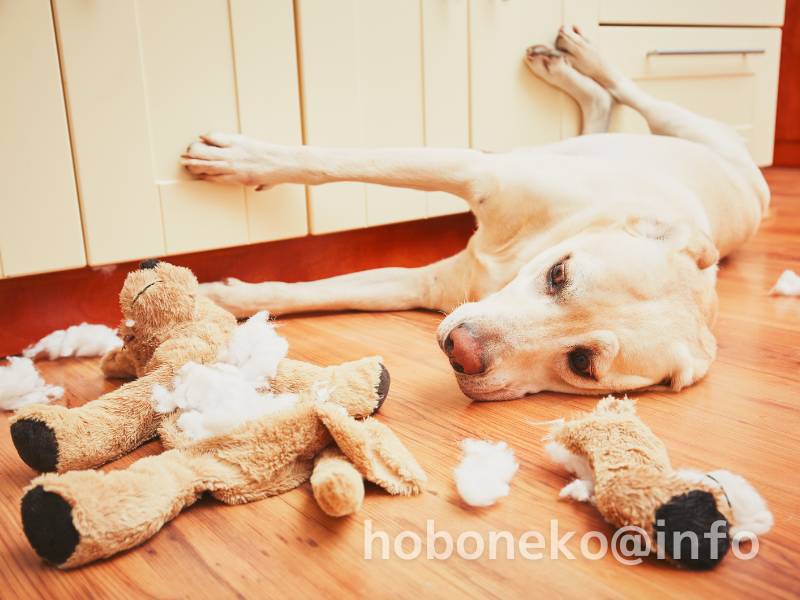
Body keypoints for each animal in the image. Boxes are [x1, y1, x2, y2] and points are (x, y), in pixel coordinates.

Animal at [181, 27, 768, 398]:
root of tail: (754, 182)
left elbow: (317, 291)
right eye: (559, 275)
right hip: (679, 124)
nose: (460, 351)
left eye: (582, 364)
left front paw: (220, 297)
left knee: (605, 107)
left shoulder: (422, 284)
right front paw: (242, 162)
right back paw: (576, 57)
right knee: (628, 94)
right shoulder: (477, 170)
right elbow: (340, 163)